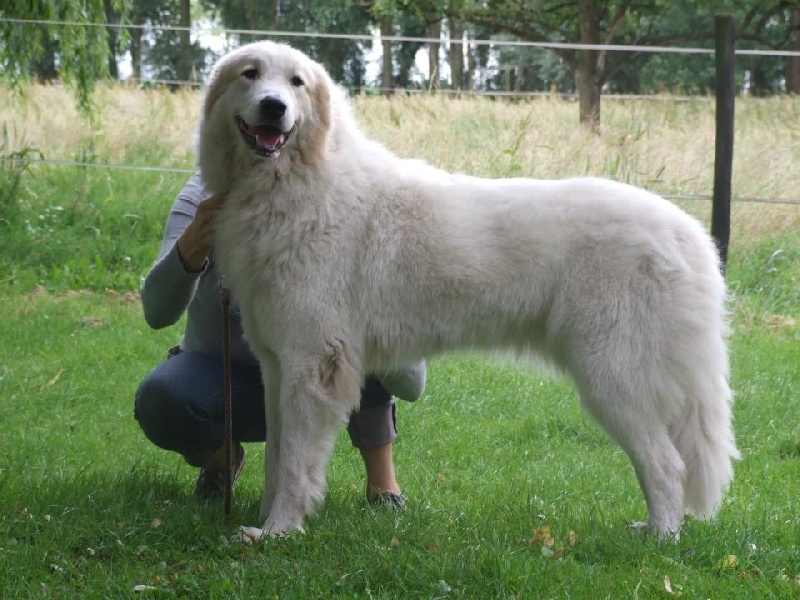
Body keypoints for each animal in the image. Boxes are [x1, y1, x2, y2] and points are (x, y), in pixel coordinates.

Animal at [198, 41, 736, 540]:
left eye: (297, 83)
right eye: (250, 75)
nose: (274, 106)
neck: (293, 185)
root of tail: (689, 232)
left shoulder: (313, 366)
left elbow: (295, 462)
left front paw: (278, 532)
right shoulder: (278, 366)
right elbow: (276, 453)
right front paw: (264, 520)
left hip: (613, 378)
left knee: (667, 466)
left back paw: (659, 540)